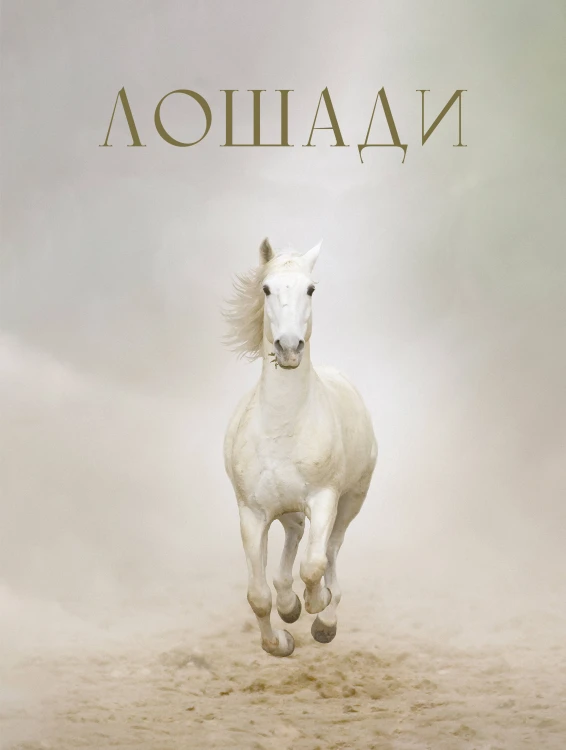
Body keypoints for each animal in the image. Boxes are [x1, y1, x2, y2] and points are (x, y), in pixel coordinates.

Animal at [223, 238, 377, 657]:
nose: (289, 347)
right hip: (287, 508)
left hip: (351, 501)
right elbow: (258, 596)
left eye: (310, 289)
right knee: (293, 537)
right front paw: (280, 639)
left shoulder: (324, 499)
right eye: (266, 289)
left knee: (332, 550)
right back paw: (289, 604)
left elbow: (314, 566)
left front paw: (316, 605)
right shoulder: (252, 513)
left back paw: (325, 618)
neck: (283, 427)